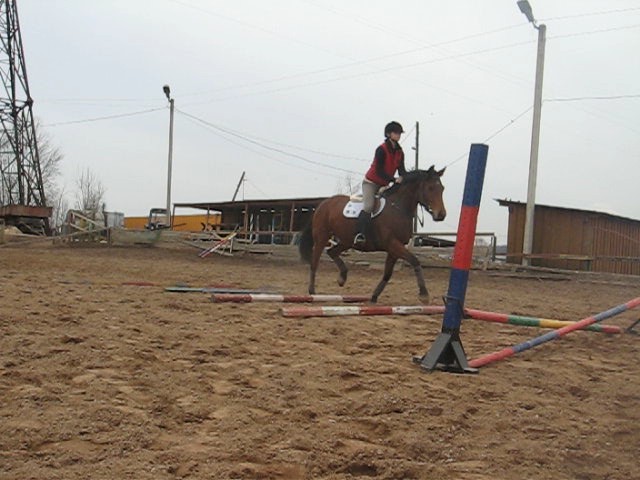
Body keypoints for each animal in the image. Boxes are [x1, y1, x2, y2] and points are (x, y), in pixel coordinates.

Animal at [299, 166, 446, 304]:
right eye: (430, 188)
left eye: (442, 188)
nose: (441, 215)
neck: (398, 208)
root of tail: (323, 203)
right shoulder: (392, 244)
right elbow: (415, 260)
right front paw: (424, 295)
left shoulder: (394, 249)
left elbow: (387, 274)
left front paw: (374, 296)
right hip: (322, 237)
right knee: (315, 262)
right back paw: (312, 291)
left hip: (347, 241)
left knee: (332, 252)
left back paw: (342, 278)